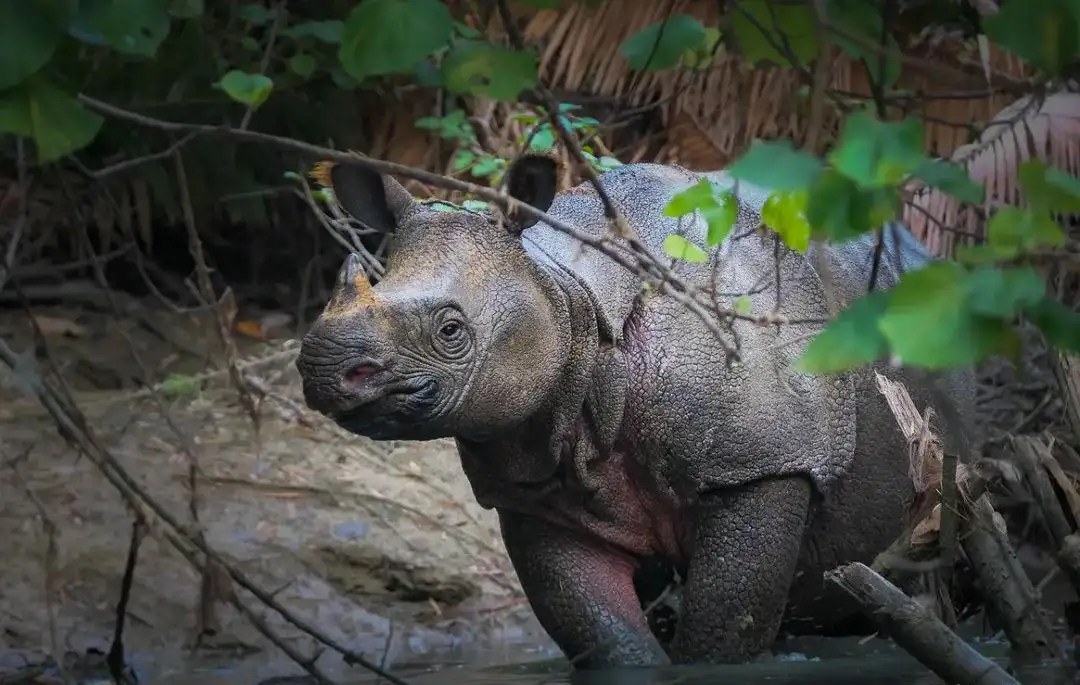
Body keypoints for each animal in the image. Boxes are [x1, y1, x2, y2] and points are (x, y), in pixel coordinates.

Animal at [295, 152, 978, 668]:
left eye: (451, 331)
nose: (324, 371)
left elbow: (723, 634)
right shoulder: (538, 485)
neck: (566, 301)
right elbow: (610, 643)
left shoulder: (765, 460)